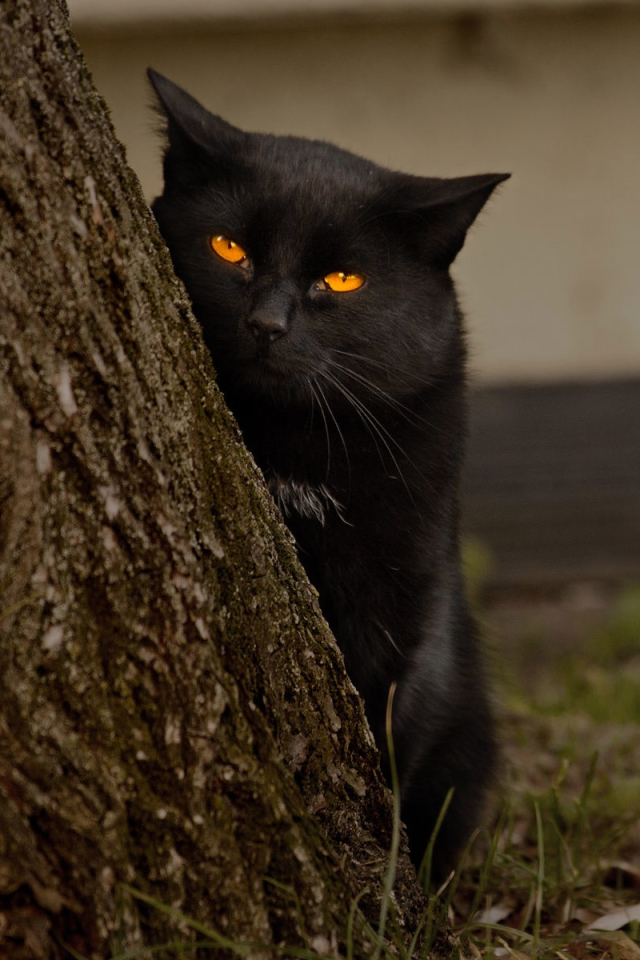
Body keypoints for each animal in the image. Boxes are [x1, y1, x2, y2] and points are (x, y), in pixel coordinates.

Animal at [148, 69, 508, 876]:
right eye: (229, 247)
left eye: (341, 280)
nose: (267, 324)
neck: (295, 450)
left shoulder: (405, 593)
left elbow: (390, 722)